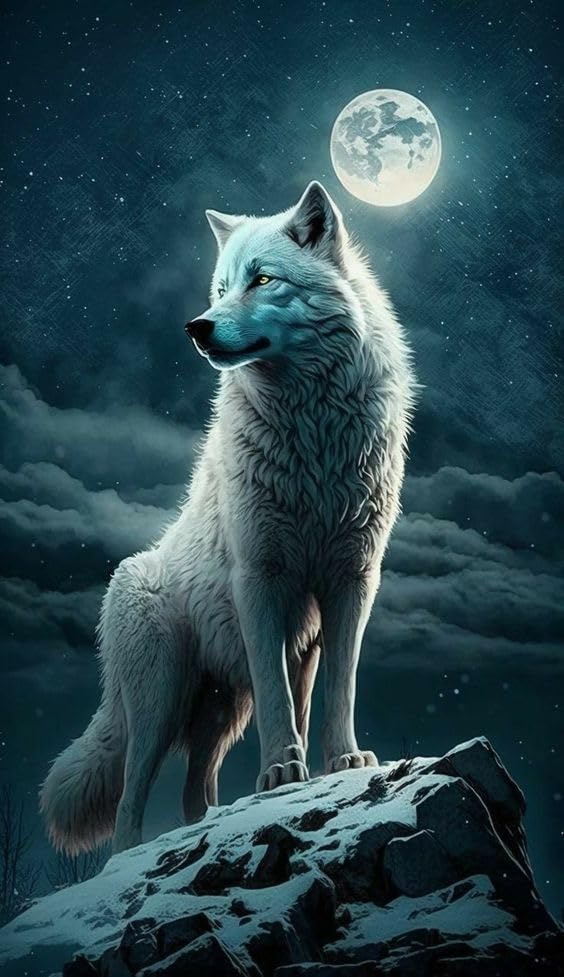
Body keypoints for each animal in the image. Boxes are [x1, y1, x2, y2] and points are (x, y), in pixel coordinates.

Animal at [40, 182, 415, 854]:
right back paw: (130, 855)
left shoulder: (351, 580)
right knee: (131, 796)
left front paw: (341, 761)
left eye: (263, 279)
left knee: (196, 790)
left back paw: (203, 824)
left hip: (219, 713)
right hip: (159, 702)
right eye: (219, 288)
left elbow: (336, 688)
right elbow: (279, 698)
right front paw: (281, 771)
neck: (313, 428)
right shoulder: (259, 579)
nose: (197, 326)